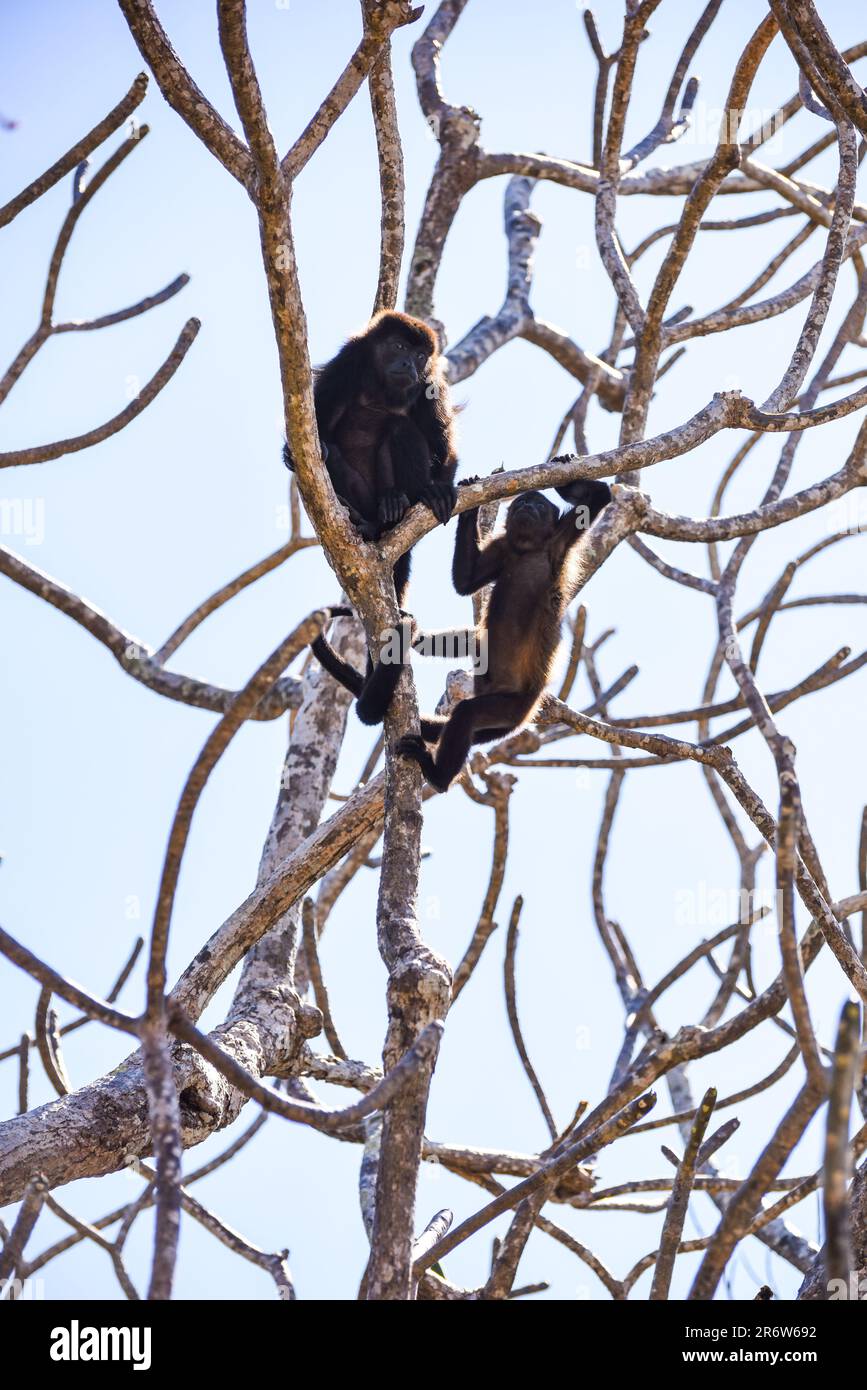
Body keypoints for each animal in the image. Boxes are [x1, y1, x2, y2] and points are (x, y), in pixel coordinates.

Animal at [283, 310, 458, 606]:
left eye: (420, 356)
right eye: (399, 346)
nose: (408, 364)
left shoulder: (430, 384)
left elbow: (444, 450)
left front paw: (440, 490)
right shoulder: (349, 359)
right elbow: (317, 418)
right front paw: (288, 452)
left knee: (401, 429)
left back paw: (394, 507)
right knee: (334, 455)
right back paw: (367, 521)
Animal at [395, 478, 612, 792]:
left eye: (538, 505)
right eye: (523, 503)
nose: (526, 505)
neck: (526, 549)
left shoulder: (558, 541)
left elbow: (599, 496)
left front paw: (562, 475)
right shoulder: (503, 548)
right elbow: (465, 582)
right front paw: (470, 506)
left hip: (509, 706)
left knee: (467, 715)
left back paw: (438, 777)